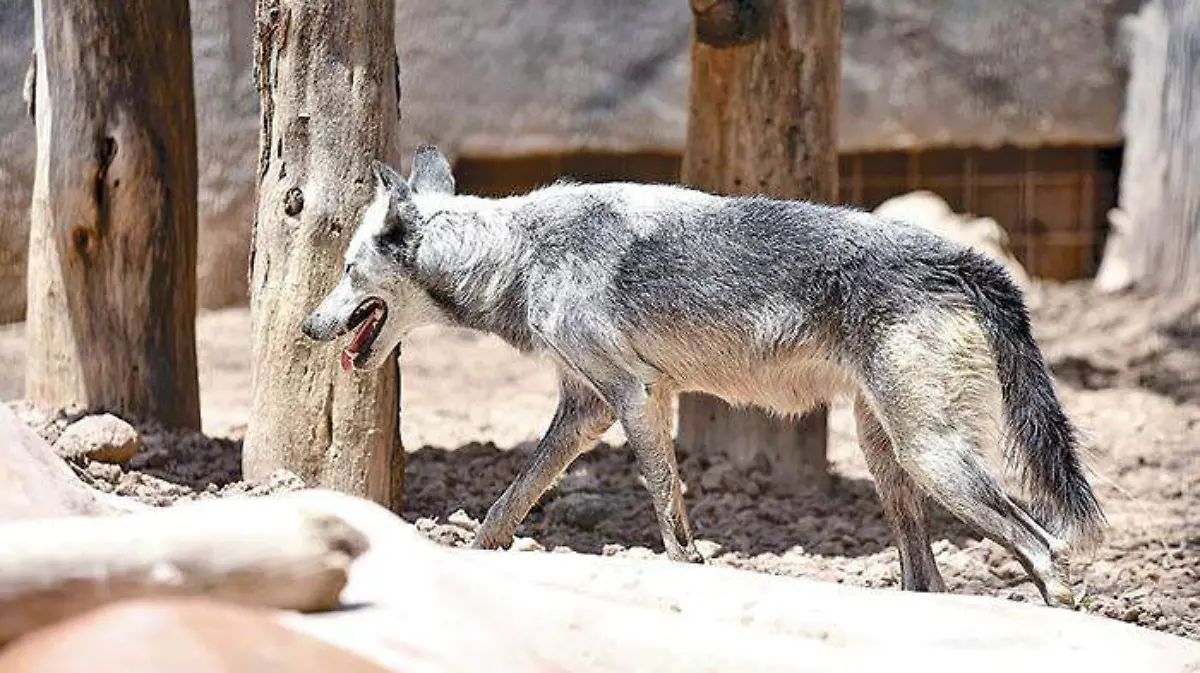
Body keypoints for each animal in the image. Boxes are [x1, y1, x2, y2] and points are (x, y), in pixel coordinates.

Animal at [300, 145, 1106, 607]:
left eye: (347, 271)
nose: (308, 327)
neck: (520, 253)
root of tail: (962, 258)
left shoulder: (634, 398)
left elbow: (667, 507)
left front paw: (686, 568)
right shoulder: (588, 409)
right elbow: (511, 499)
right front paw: (468, 558)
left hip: (932, 460)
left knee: (1047, 551)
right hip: (891, 459)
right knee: (926, 578)